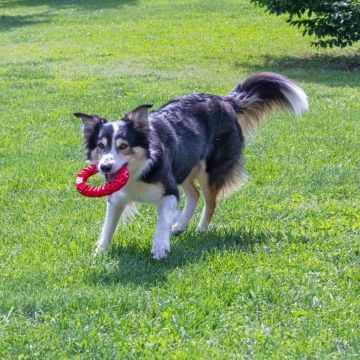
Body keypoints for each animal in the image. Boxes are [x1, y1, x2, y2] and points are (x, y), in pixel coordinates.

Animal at [74, 72, 308, 258]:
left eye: (123, 146)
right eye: (101, 146)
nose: (105, 167)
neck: (137, 171)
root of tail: (225, 101)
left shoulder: (169, 191)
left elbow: (162, 221)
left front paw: (160, 246)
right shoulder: (117, 198)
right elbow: (108, 226)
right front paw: (99, 252)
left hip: (209, 171)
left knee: (210, 202)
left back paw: (199, 229)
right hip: (185, 165)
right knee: (194, 194)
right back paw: (180, 225)